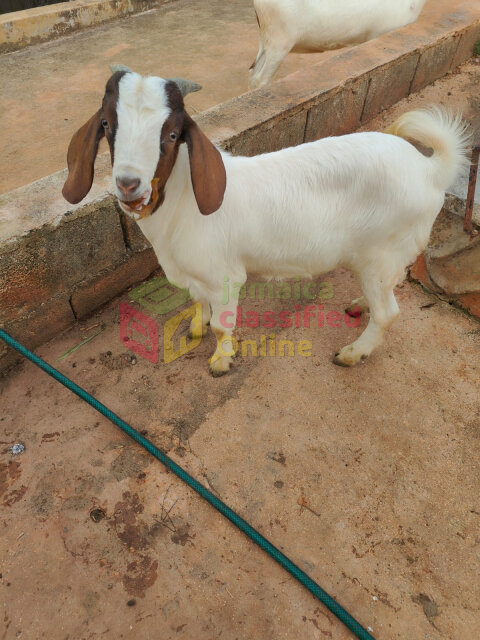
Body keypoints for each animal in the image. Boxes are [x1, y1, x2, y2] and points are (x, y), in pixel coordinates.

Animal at [63, 68, 468, 376]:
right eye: (107, 124)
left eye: (173, 134)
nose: (129, 185)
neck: (183, 203)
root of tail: (431, 169)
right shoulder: (196, 274)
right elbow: (197, 302)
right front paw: (194, 328)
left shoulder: (224, 275)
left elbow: (221, 323)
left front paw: (221, 361)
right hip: (389, 256)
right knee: (391, 285)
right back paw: (359, 304)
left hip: (381, 252)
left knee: (388, 313)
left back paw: (353, 352)